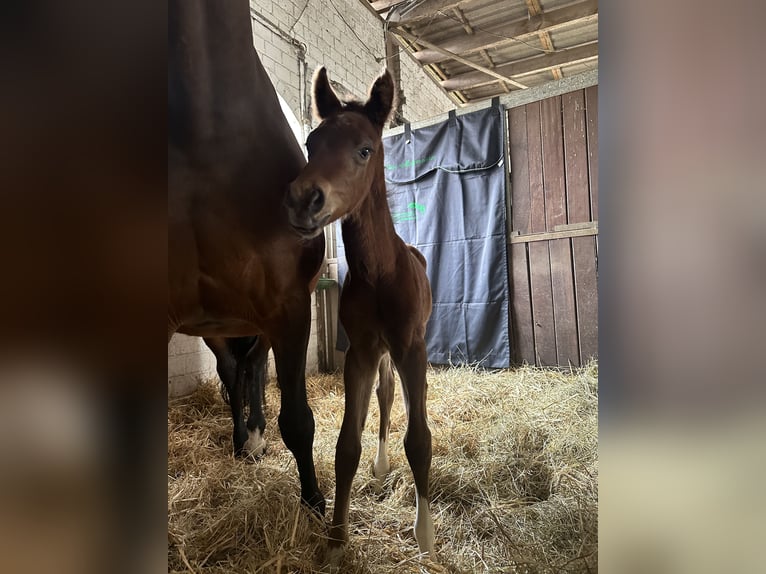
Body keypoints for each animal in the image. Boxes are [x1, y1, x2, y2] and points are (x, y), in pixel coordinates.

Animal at [284, 68, 438, 568]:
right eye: (311, 142)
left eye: (365, 149)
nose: (302, 200)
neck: (380, 273)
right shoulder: (361, 351)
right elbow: (347, 444)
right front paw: (335, 540)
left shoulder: (411, 346)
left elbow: (420, 439)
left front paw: (424, 537)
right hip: (384, 354)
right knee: (388, 397)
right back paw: (382, 464)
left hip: (410, 348)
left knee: (408, 400)